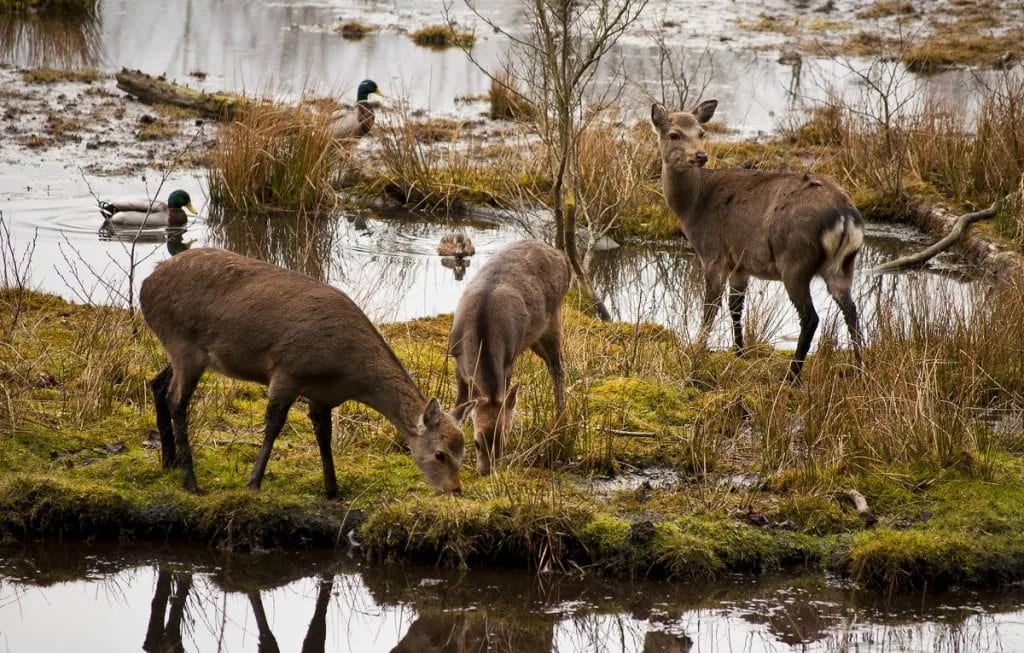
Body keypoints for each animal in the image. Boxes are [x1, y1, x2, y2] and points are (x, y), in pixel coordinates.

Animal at [138, 247, 468, 499]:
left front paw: (333, 490)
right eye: (440, 454)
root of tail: (145, 286)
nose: (455, 489)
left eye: (463, 451)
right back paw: (191, 483)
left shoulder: (322, 395)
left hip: (184, 353)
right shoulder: (287, 371)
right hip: (183, 344)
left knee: (157, 383)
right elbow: (274, 424)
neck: (345, 371)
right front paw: (253, 483)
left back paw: (168, 461)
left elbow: (324, 435)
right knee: (176, 401)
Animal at [448, 240, 573, 474]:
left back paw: (561, 417)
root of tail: (562, 256)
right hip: (535, 337)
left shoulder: (508, 362)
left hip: (554, 318)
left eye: (503, 443)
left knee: (558, 366)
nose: (486, 472)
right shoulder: (457, 359)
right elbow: (461, 401)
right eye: (477, 443)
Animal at [651, 99, 860, 380]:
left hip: (794, 260)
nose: (701, 156)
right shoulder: (740, 264)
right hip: (843, 266)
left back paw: (792, 376)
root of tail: (844, 215)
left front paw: (697, 349)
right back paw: (859, 368)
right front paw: (740, 352)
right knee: (851, 310)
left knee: (810, 317)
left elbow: (710, 307)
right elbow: (735, 307)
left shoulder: (713, 254)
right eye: (674, 134)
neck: (694, 208)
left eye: (701, 133)